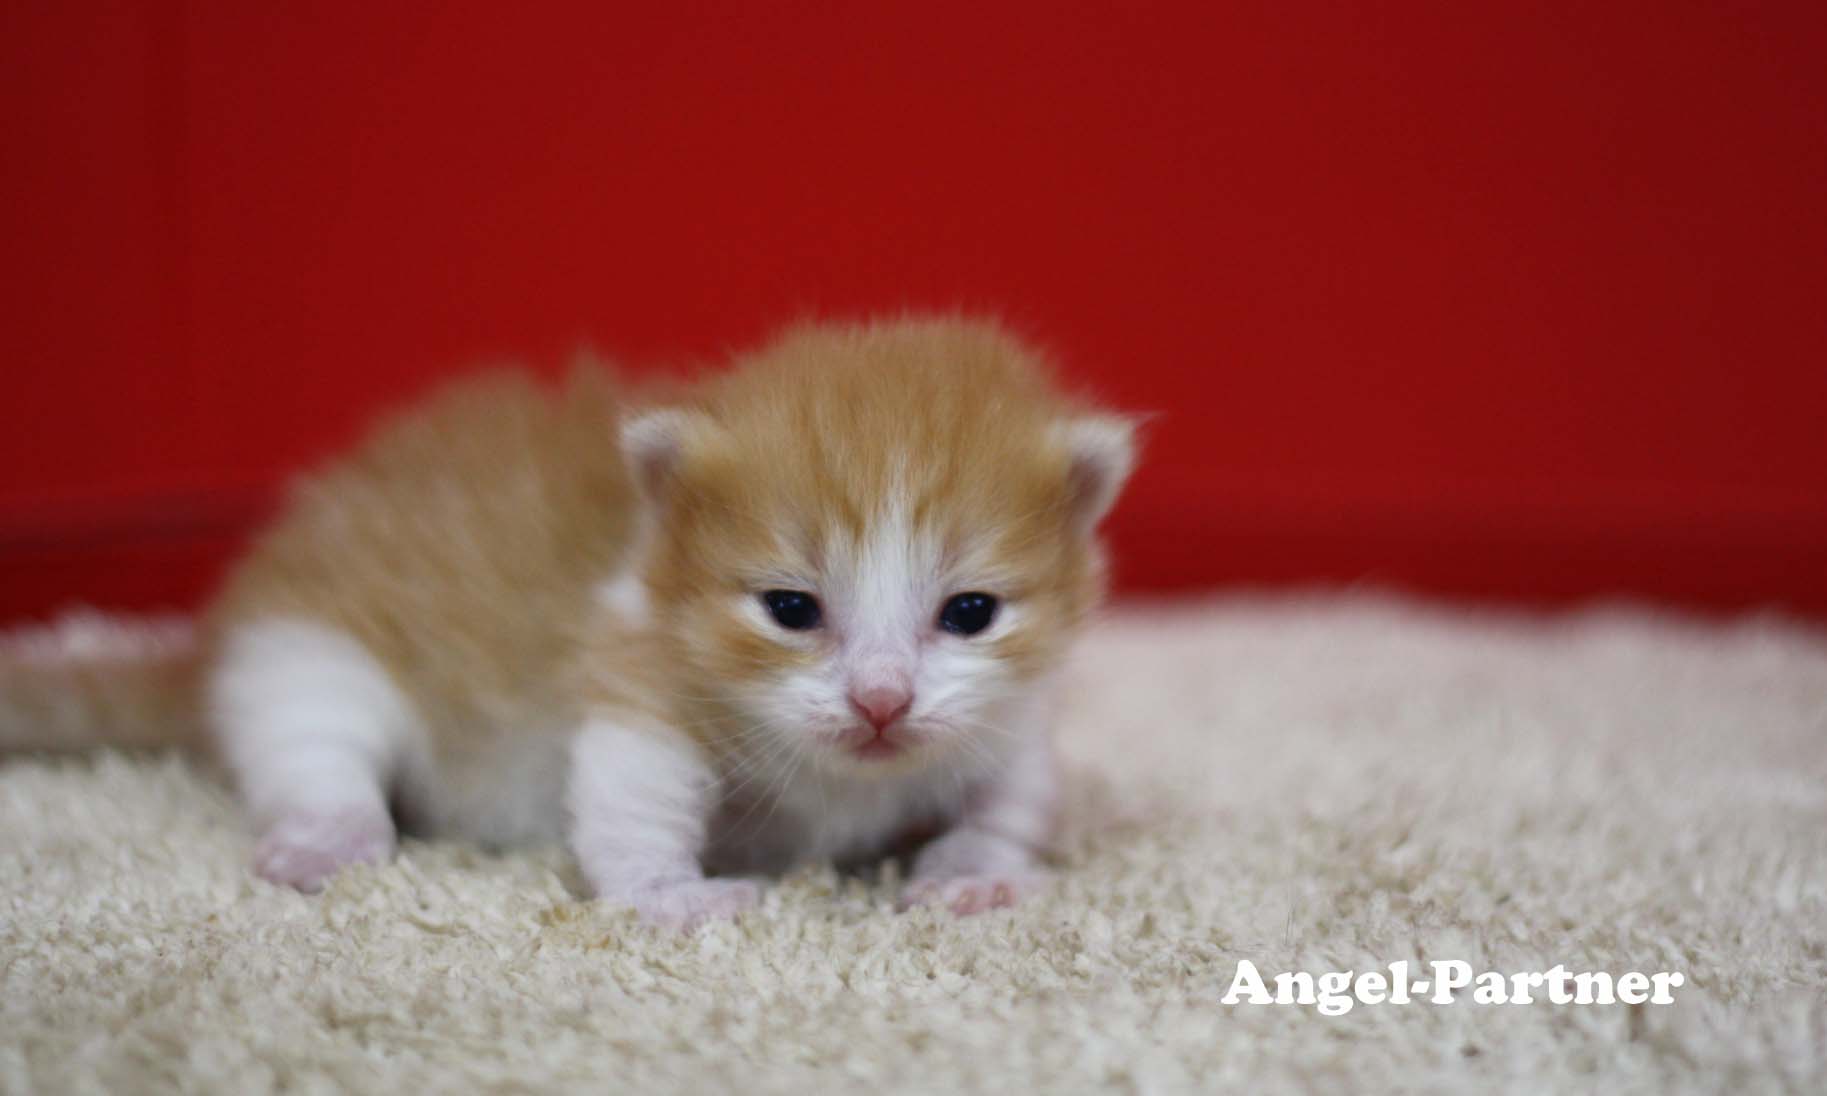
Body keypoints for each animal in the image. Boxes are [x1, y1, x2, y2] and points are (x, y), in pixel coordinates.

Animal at [207, 316, 1132, 924]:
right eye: (789, 610)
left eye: (970, 612)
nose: (880, 701)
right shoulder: (638, 670)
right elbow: (635, 795)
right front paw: (672, 896)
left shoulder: (1012, 708)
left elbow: (1013, 798)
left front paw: (974, 871)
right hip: (312, 646)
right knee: (314, 740)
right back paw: (327, 835)